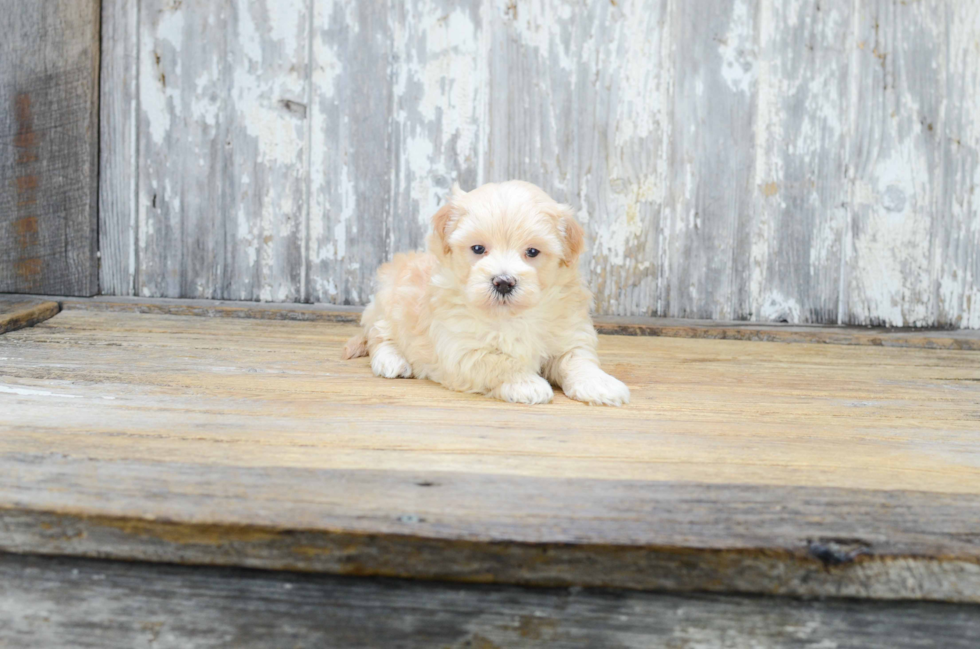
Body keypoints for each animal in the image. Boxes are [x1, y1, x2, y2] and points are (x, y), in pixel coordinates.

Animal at [344, 180, 632, 404]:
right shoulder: (461, 348)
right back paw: (391, 360)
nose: (503, 282)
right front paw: (527, 383)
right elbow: (499, 361)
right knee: (379, 335)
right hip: (389, 303)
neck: (511, 315)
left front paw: (600, 384)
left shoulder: (570, 334)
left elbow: (577, 360)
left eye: (532, 252)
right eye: (478, 249)